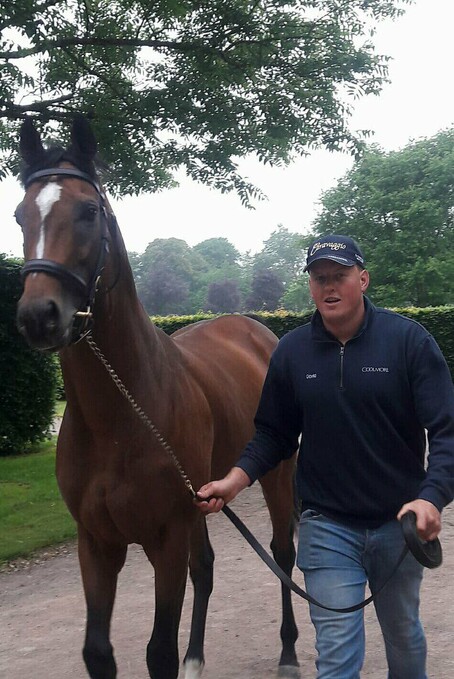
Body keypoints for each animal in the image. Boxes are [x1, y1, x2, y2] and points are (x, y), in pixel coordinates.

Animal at [15, 115, 300, 679]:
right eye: (19, 214)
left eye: (89, 210)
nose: (39, 316)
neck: (122, 413)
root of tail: (257, 332)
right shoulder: (97, 543)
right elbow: (98, 653)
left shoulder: (165, 537)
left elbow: (158, 652)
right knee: (206, 567)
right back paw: (197, 659)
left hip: (276, 475)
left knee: (281, 553)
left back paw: (288, 653)